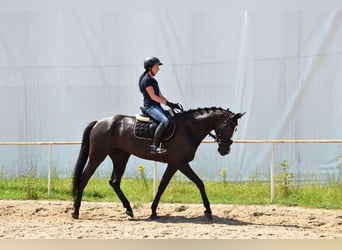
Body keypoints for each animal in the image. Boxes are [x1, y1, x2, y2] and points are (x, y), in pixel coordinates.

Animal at [71, 106, 244, 220]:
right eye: (230, 127)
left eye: (235, 129)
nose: (225, 150)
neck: (188, 128)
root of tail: (99, 122)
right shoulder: (181, 163)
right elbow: (199, 182)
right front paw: (208, 211)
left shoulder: (173, 164)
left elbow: (162, 185)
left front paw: (153, 211)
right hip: (97, 156)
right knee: (84, 178)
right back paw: (75, 212)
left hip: (120, 157)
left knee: (114, 182)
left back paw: (129, 210)